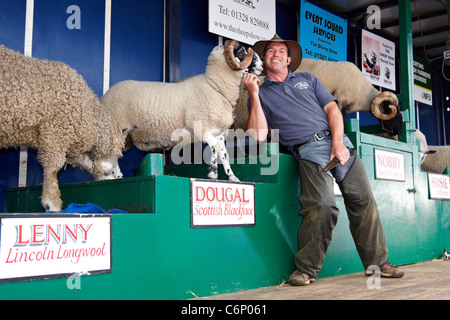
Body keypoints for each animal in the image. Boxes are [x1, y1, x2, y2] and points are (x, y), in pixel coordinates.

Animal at [0, 44, 126, 210]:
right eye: (117, 153)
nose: (113, 173)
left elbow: (86, 162)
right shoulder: (55, 132)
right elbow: (53, 167)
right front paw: (51, 203)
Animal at [101, 39, 264, 182]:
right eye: (242, 52)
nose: (262, 65)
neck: (214, 87)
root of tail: (105, 95)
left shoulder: (219, 132)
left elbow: (224, 154)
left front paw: (232, 177)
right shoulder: (201, 128)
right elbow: (214, 147)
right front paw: (212, 173)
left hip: (126, 135)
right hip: (117, 128)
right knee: (111, 153)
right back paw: (112, 177)